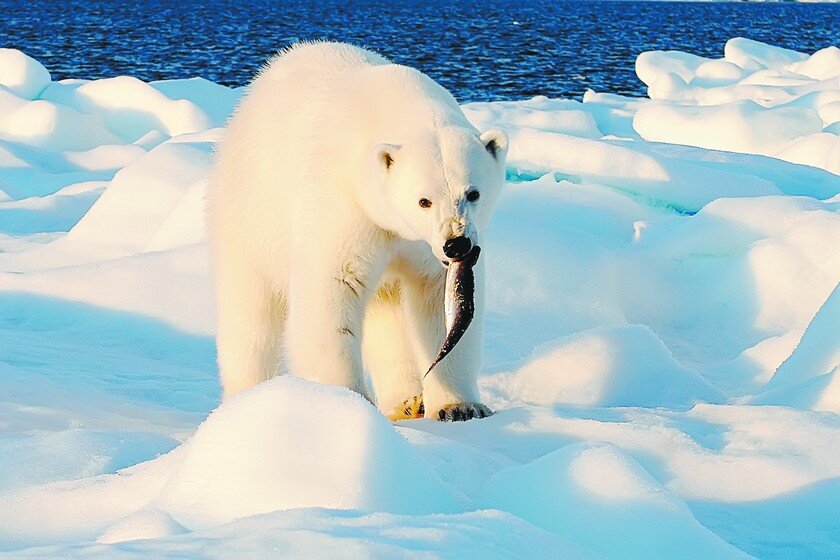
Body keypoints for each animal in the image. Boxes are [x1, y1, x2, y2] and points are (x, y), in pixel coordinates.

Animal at [210, 42, 508, 420]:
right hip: (250, 216)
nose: (457, 245)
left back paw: (408, 401)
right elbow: (333, 287)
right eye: (423, 201)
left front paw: (459, 407)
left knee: (387, 309)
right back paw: (246, 397)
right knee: (251, 317)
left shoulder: (419, 246)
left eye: (473, 193)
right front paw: (344, 401)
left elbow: (439, 304)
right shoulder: (343, 203)